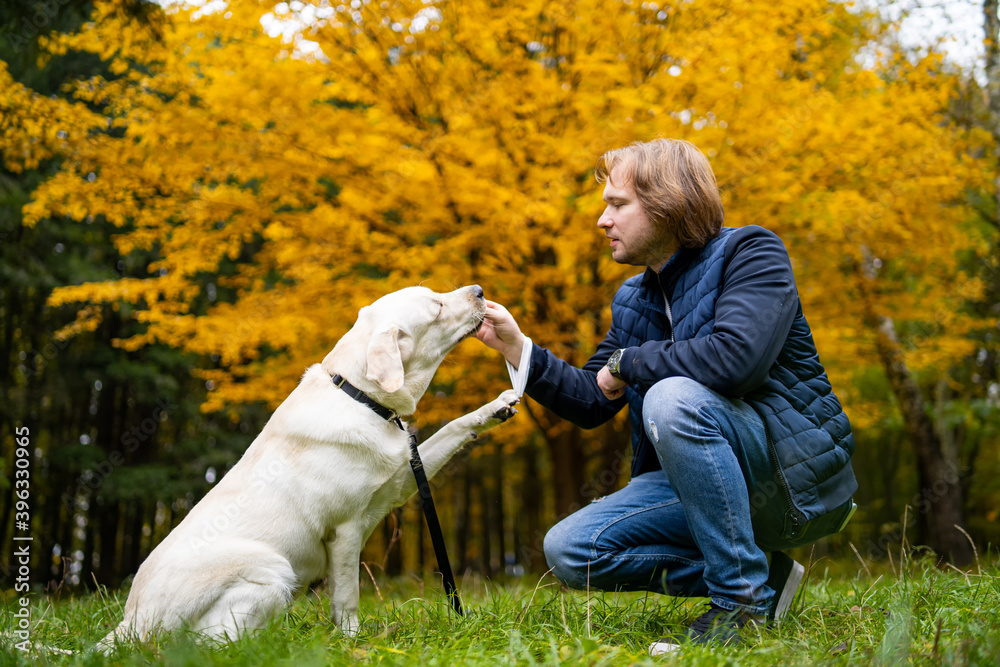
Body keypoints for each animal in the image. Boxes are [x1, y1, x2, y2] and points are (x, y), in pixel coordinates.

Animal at [99, 284, 524, 648]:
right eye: (436, 306)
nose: (480, 291)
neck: (360, 396)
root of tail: (130, 623)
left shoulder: (401, 482)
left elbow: (452, 429)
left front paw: (495, 407)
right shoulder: (346, 530)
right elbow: (348, 596)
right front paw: (353, 640)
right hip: (272, 568)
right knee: (211, 643)